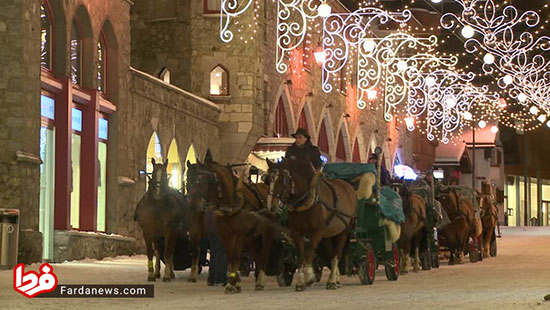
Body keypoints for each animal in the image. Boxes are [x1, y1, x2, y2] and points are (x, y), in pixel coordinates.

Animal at [196, 154, 278, 294]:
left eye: (209, 179)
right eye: (195, 179)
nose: (200, 205)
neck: (231, 206)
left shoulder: (239, 235)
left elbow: (235, 257)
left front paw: (231, 284)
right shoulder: (225, 235)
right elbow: (230, 257)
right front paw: (235, 282)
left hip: (266, 232)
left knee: (265, 252)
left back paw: (261, 280)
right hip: (252, 237)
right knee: (257, 254)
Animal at [266, 157, 358, 290]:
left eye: (283, 180)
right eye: (268, 180)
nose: (271, 206)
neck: (307, 200)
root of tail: (348, 186)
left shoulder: (317, 231)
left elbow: (309, 252)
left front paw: (309, 277)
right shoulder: (297, 232)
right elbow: (300, 256)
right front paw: (300, 282)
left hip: (344, 231)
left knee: (337, 254)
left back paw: (332, 280)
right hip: (328, 235)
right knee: (331, 254)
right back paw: (336, 279)